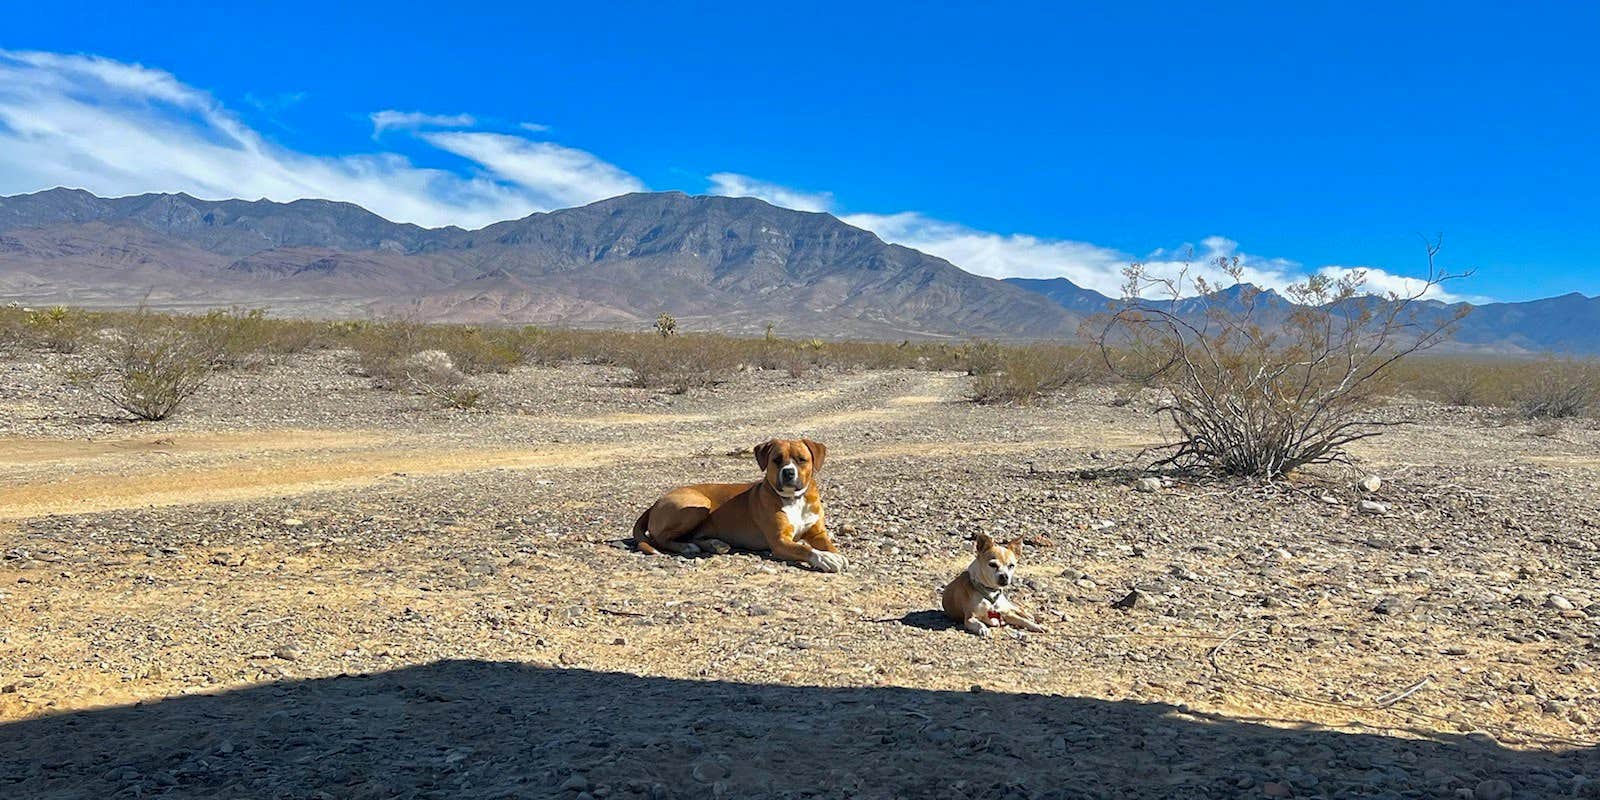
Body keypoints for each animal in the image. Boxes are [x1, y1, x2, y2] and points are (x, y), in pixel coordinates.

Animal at [630, 441, 851, 572]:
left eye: (801, 460)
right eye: (776, 460)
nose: (788, 472)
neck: (794, 499)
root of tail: (656, 502)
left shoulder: (817, 533)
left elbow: (829, 545)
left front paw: (835, 555)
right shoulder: (779, 541)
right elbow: (805, 548)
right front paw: (825, 558)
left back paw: (714, 544)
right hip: (698, 505)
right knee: (659, 539)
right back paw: (687, 547)